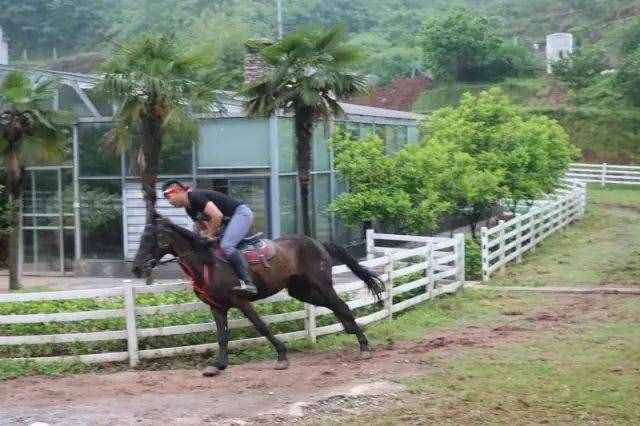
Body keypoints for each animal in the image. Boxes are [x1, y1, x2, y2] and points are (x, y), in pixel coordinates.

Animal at [130, 213, 382, 376]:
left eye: (151, 239)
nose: (137, 268)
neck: (207, 263)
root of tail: (318, 242)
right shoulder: (217, 307)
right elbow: (222, 336)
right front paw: (219, 365)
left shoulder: (240, 301)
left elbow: (262, 327)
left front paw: (282, 356)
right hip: (301, 291)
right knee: (337, 307)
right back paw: (353, 332)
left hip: (321, 284)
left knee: (341, 305)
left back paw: (363, 345)